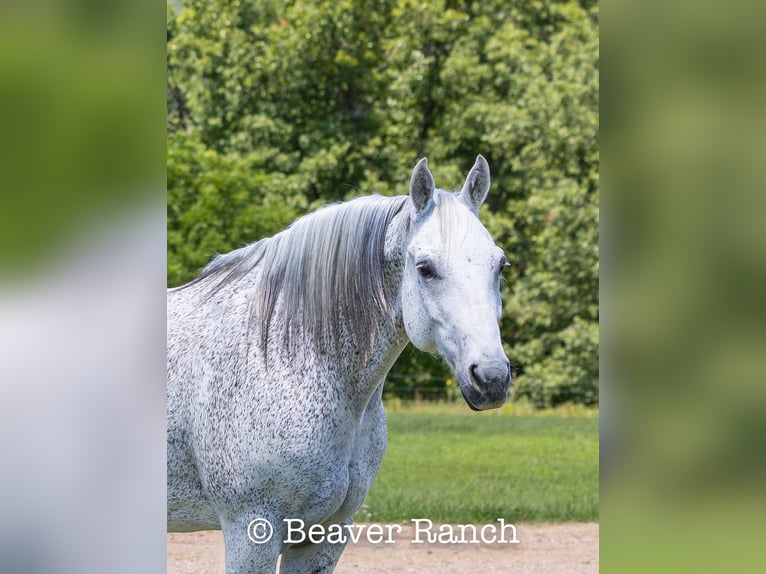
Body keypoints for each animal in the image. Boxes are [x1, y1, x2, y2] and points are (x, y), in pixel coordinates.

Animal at [170, 158, 516, 574]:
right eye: (425, 268)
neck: (282, 358)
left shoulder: (323, 537)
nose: (491, 379)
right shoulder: (250, 533)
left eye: (500, 265)